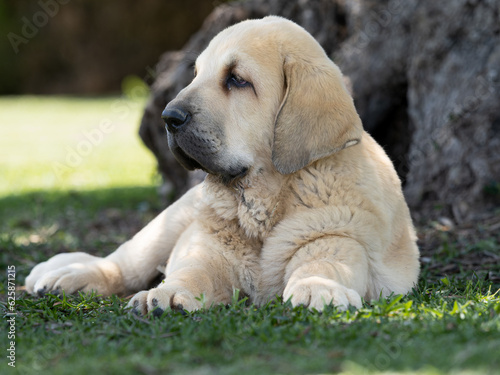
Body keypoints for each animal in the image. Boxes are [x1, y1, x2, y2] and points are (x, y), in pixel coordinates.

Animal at [25, 16, 420, 312]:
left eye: (236, 80)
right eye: (196, 74)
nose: (168, 117)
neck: (264, 199)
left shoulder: (338, 237)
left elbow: (323, 263)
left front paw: (316, 288)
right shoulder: (208, 250)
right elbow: (192, 273)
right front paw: (167, 294)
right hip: (169, 223)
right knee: (122, 264)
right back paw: (68, 277)